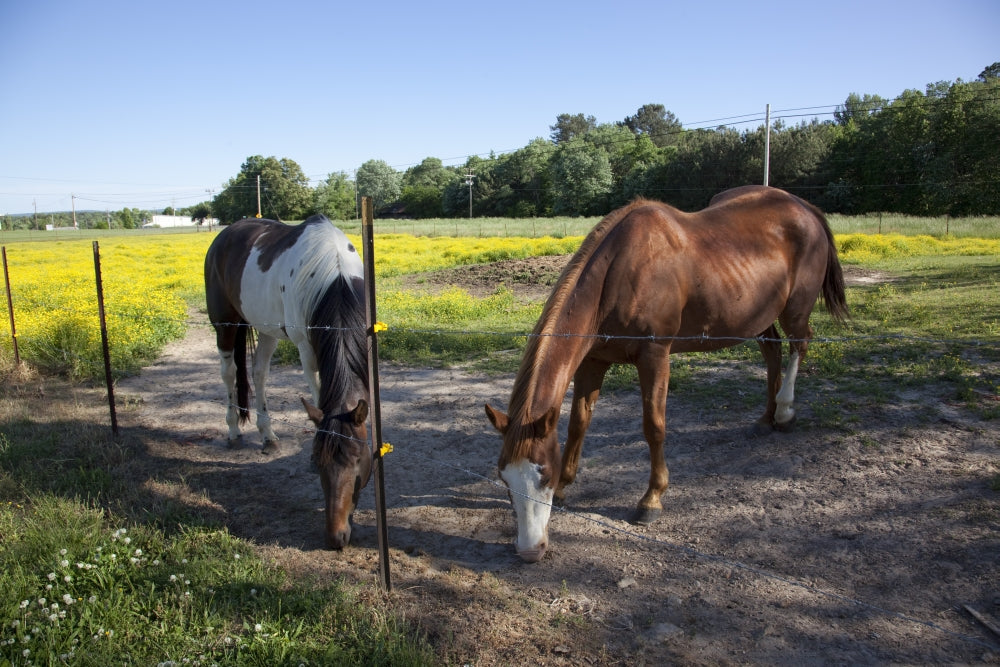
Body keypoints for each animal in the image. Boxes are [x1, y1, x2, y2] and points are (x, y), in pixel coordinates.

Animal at [204, 214, 371, 549]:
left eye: (359, 460)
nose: (336, 538)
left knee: (259, 373)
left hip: (265, 328)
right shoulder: (307, 348)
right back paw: (233, 430)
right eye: (319, 463)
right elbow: (320, 396)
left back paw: (268, 436)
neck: (335, 277)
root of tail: (225, 234)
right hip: (225, 324)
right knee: (229, 372)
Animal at [485, 186, 849, 562]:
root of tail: (804, 207)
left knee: (798, 346)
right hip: (760, 317)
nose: (530, 551)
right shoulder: (593, 361)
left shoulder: (655, 357)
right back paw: (766, 418)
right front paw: (567, 486)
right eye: (505, 480)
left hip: (796, 309)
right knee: (773, 353)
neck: (619, 273)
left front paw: (651, 500)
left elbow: (654, 426)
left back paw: (786, 412)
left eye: (543, 475)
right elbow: (579, 423)